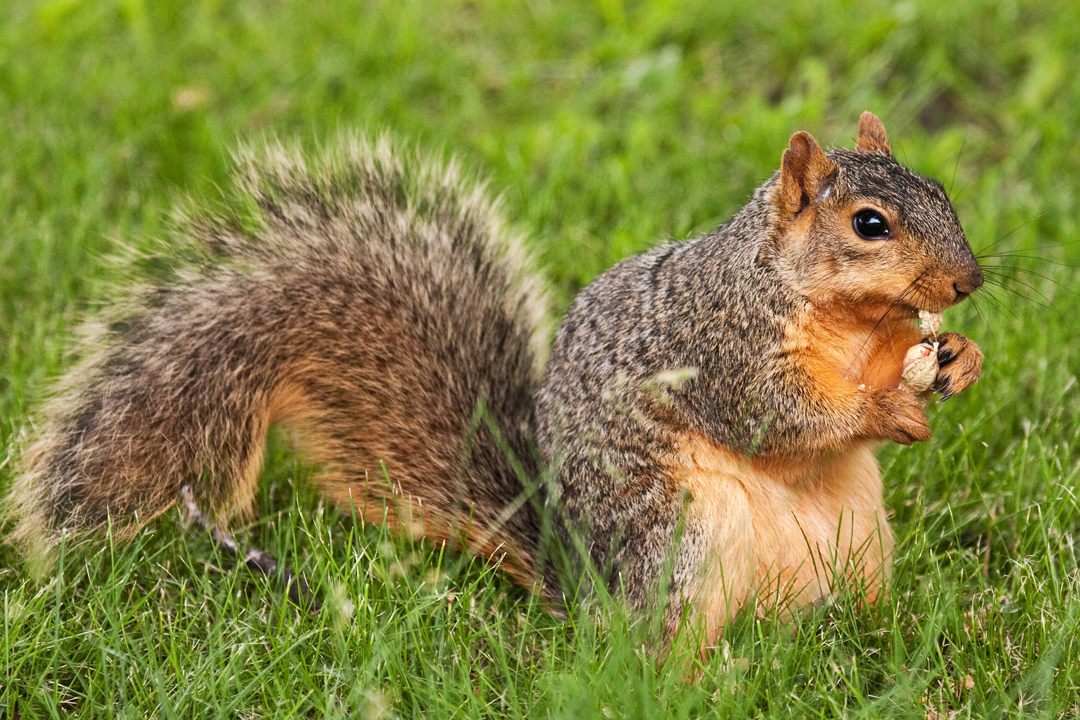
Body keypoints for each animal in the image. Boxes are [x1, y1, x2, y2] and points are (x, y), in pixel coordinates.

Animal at [4, 113, 980, 651]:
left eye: (941, 189)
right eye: (869, 224)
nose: (969, 280)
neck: (842, 318)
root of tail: (584, 593)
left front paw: (956, 358)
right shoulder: (720, 344)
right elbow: (775, 416)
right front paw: (888, 402)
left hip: (857, 539)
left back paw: (873, 639)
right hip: (682, 541)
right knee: (660, 652)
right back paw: (712, 673)